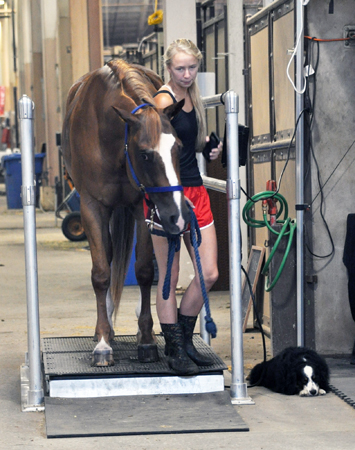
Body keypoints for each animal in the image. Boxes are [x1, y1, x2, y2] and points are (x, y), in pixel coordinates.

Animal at [62, 59, 189, 368]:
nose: (177, 216)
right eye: (144, 154)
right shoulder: (92, 206)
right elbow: (101, 273)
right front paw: (103, 342)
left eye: (178, 148)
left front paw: (146, 339)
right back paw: (104, 328)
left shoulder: (140, 207)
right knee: (107, 258)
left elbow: (143, 271)